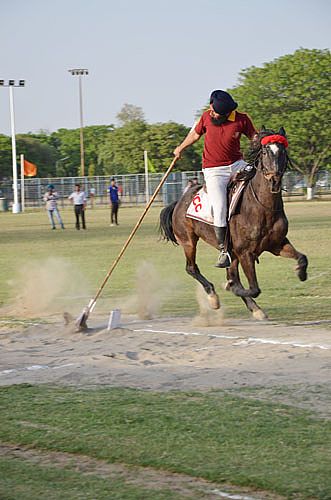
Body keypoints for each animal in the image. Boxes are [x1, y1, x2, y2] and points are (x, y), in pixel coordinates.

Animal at [160, 127, 308, 318]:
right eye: (265, 151)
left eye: (282, 151)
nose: (274, 180)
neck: (262, 207)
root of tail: (179, 201)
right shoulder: (245, 253)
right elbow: (253, 288)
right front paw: (231, 288)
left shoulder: (277, 244)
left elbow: (302, 258)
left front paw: (300, 272)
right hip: (188, 240)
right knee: (191, 268)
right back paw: (214, 298)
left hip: (231, 253)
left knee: (228, 272)